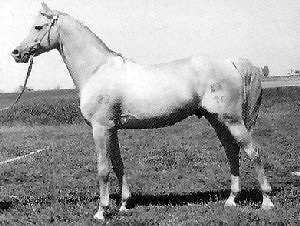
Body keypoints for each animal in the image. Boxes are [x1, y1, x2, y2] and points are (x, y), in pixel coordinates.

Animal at [11, 2, 274, 220]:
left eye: (38, 26)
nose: (16, 53)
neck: (98, 70)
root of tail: (230, 62)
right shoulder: (112, 130)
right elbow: (118, 165)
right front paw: (123, 205)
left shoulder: (100, 129)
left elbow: (103, 169)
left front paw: (101, 211)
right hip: (217, 120)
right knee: (232, 152)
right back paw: (231, 200)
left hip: (232, 120)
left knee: (253, 151)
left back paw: (266, 201)